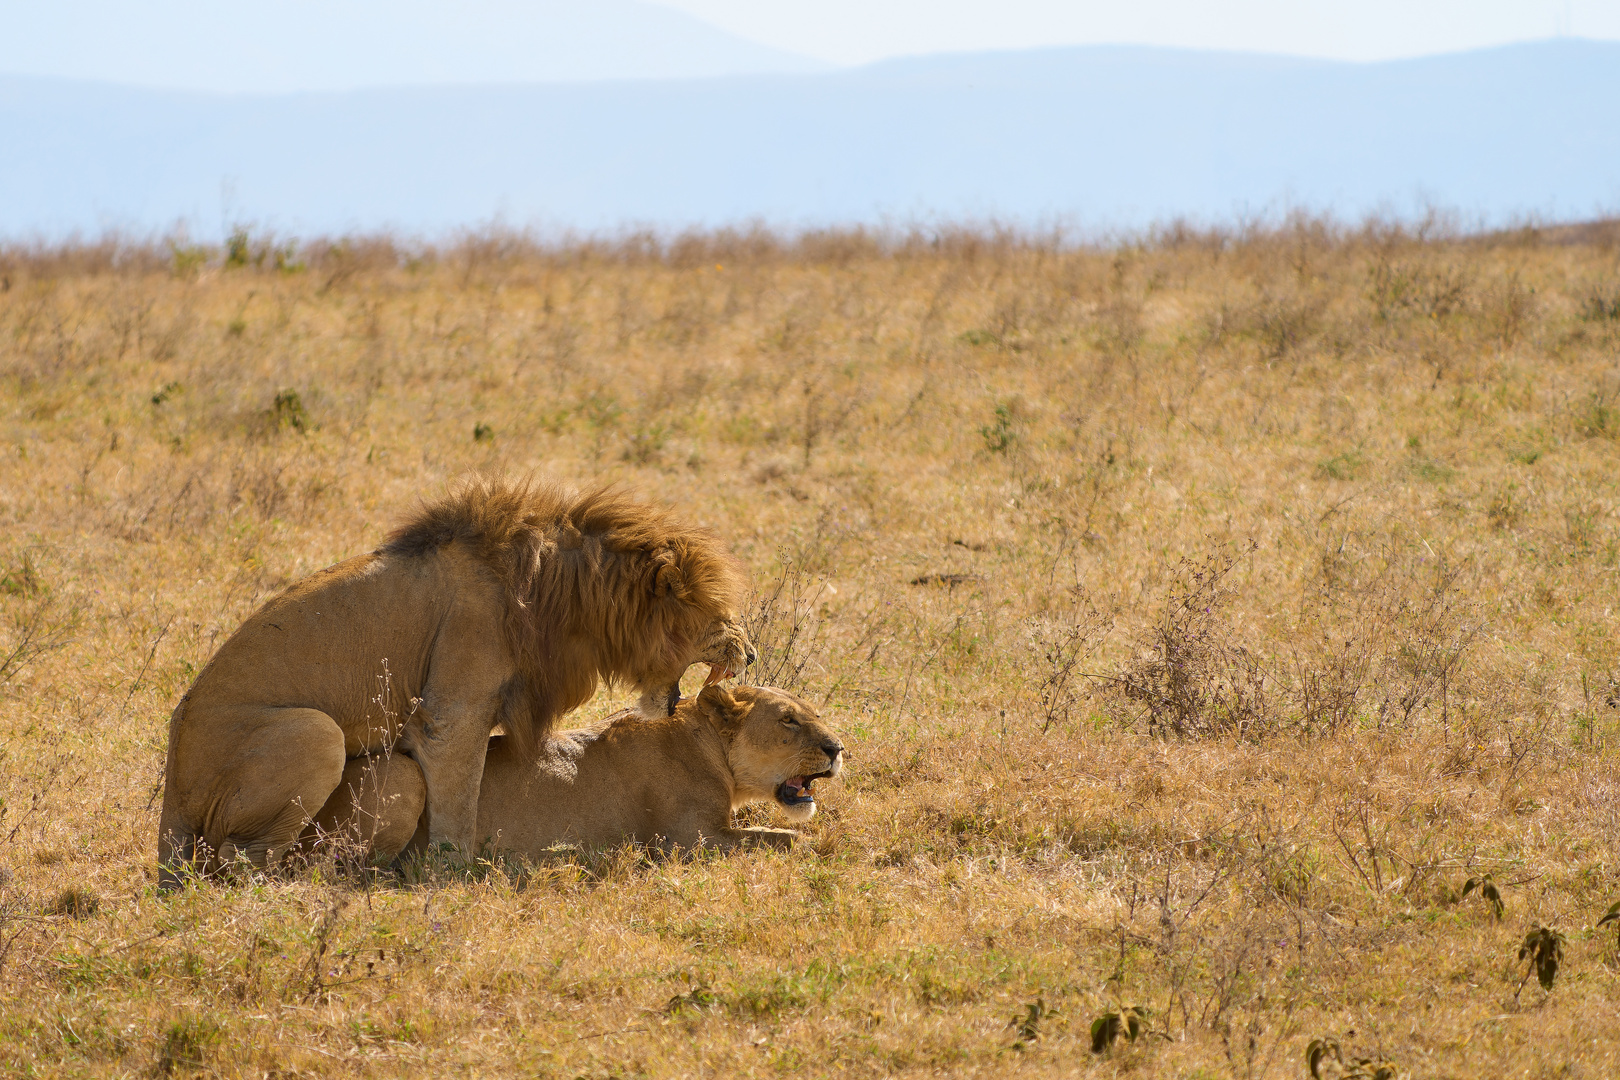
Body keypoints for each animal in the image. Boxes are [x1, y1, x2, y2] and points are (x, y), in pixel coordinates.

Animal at [157, 476, 751, 880]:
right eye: (716, 614)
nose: (748, 650)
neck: (566, 596)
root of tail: (171, 799)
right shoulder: (450, 717)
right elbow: (459, 810)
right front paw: (456, 877)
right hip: (314, 733)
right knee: (237, 861)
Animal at [304, 683, 848, 861]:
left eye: (814, 712)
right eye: (788, 720)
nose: (837, 748)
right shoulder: (689, 840)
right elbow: (784, 837)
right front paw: (820, 844)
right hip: (402, 778)